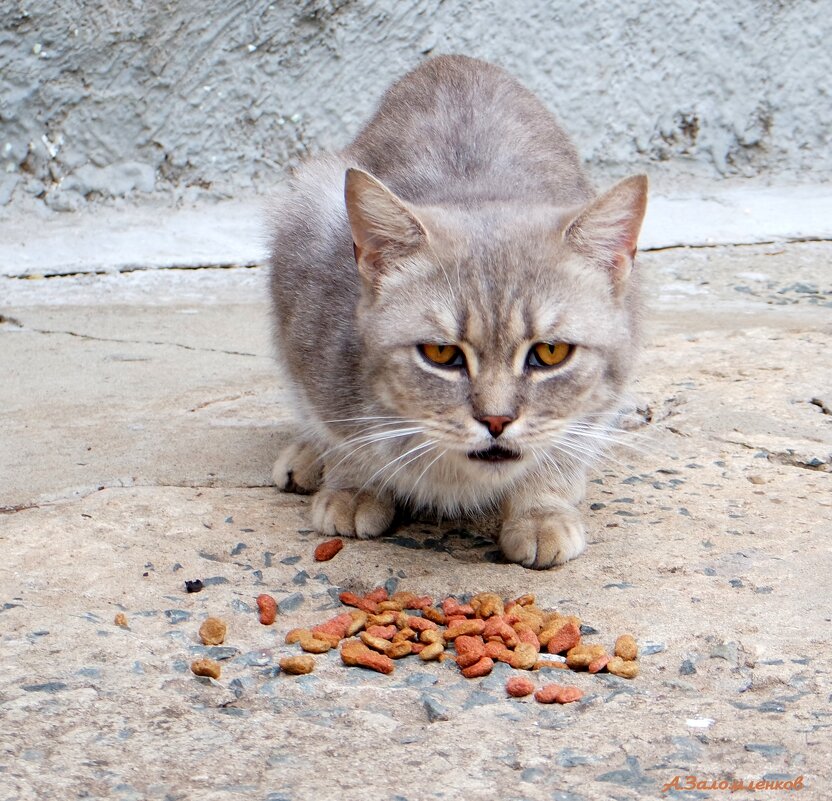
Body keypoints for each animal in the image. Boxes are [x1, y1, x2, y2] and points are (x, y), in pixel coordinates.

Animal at [270, 54, 648, 568]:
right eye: (440, 354)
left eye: (550, 352)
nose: (497, 422)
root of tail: (452, 60)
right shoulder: (314, 347)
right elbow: (343, 433)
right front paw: (354, 485)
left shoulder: (597, 401)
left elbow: (565, 446)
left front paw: (541, 510)